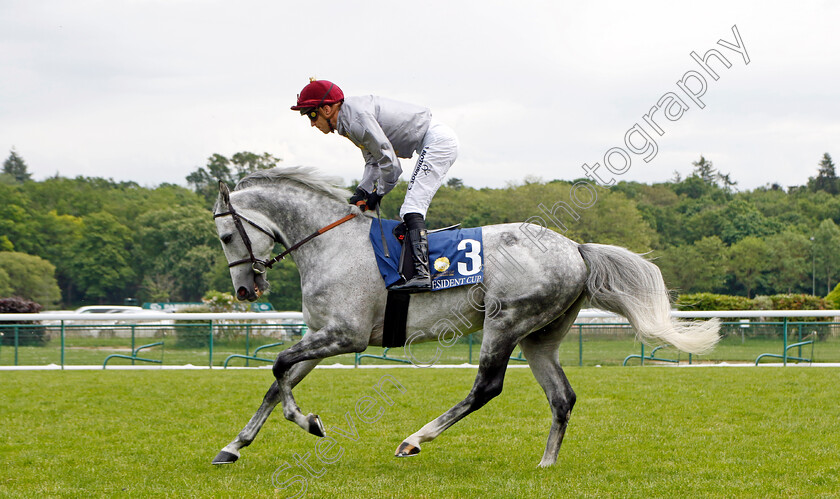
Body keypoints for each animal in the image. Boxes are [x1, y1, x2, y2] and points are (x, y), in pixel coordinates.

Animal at [212, 167, 720, 468]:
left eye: (225, 235)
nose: (244, 291)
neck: (330, 245)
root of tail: (575, 248)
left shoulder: (346, 335)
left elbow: (279, 369)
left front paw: (310, 423)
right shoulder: (322, 335)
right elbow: (277, 382)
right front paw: (233, 446)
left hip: (505, 323)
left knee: (486, 388)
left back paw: (414, 439)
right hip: (539, 337)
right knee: (562, 397)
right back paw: (546, 464)